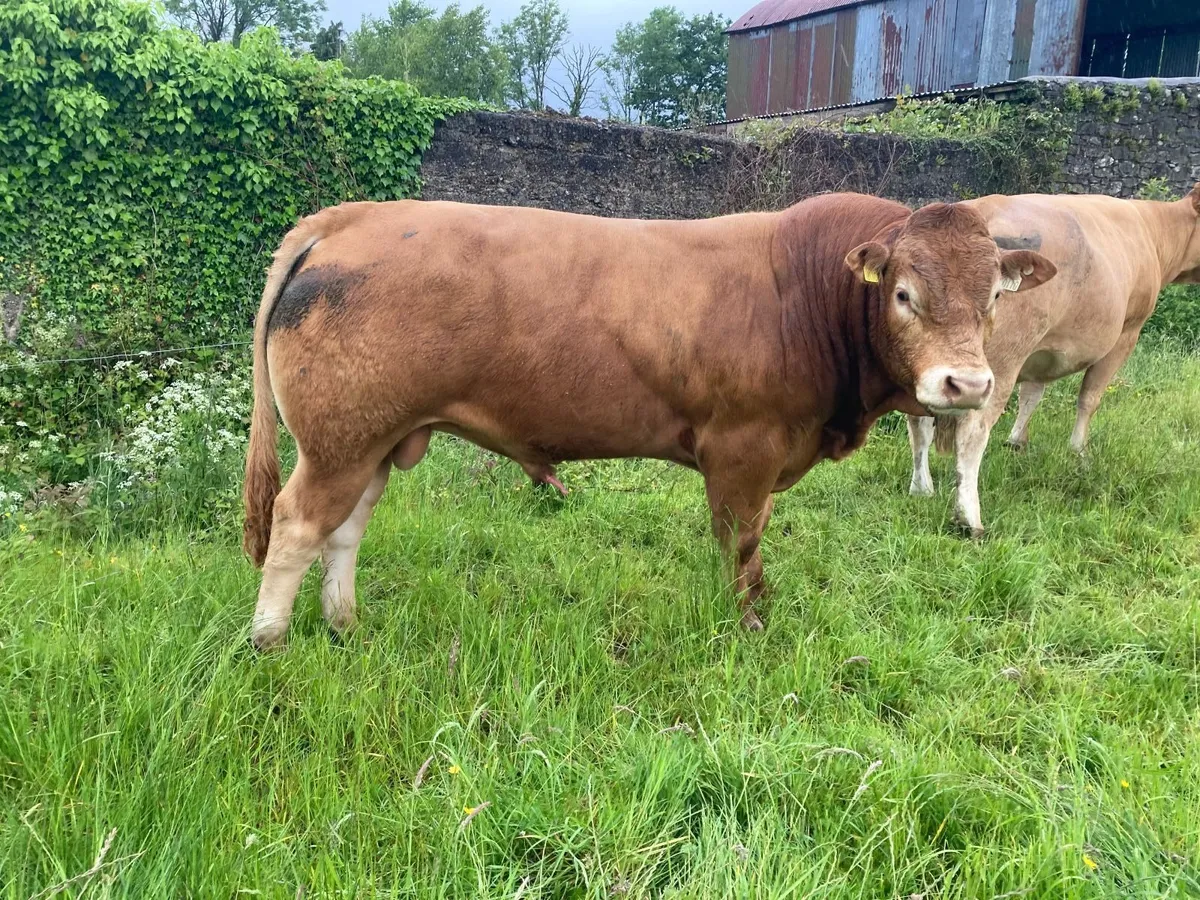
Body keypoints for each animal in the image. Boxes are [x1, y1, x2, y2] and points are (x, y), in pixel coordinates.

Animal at [242, 194, 1056, 649]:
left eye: (993, 296)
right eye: (904, 294)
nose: (967, 383)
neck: (803, 291)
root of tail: (353, 218)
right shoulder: (743, 448)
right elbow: (741, 542)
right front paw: (749, 624)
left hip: (374, 440)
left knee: (345, 530)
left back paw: (345, 624)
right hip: (339, 442)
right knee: (296, 525)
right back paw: (270, 640)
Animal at [906, 183, 1200, 536]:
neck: (1153, 229)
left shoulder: (1039, 353)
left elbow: (1031, 396)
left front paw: (1017, 441)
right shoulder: (1127, 334)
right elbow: (1089, 399)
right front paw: (1079, 452)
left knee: (918, 420)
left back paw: (922, 489)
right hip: (998, 364)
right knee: (972, 431)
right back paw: (969, 517)